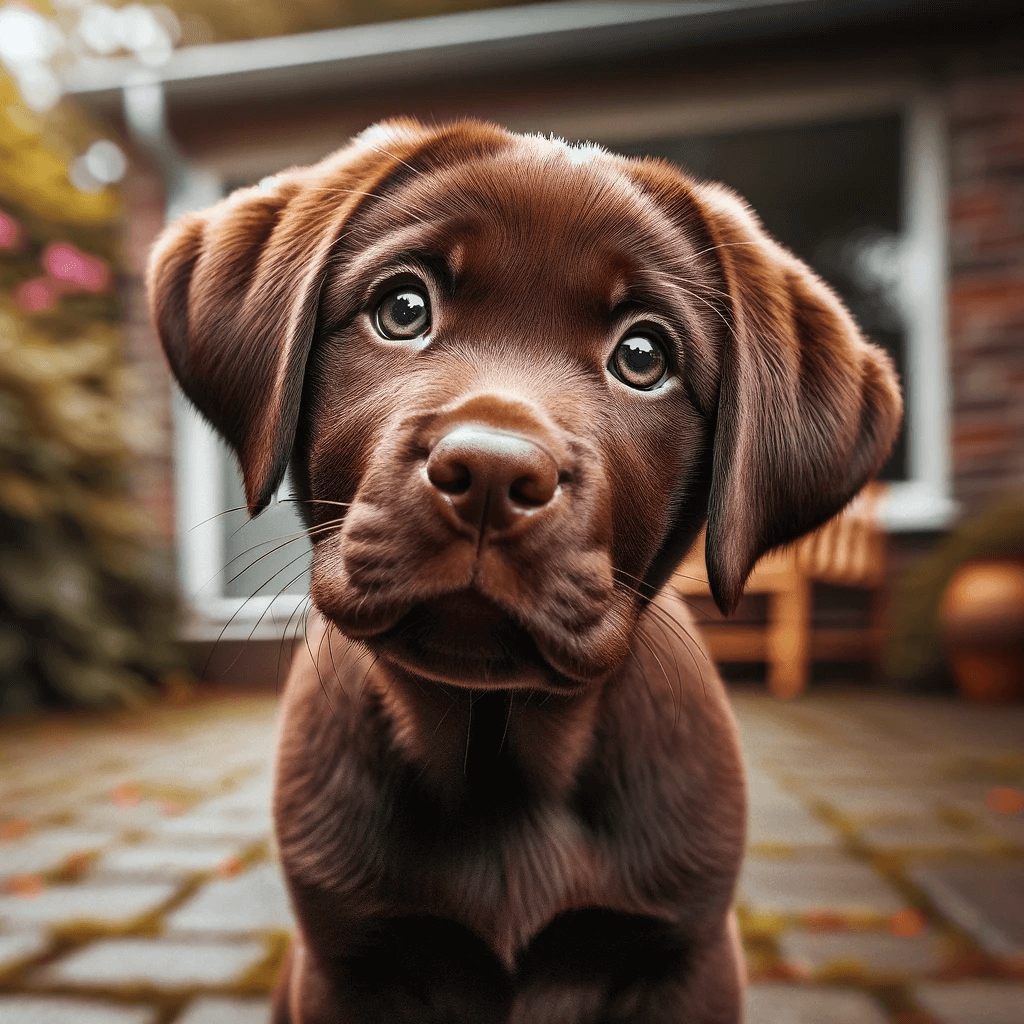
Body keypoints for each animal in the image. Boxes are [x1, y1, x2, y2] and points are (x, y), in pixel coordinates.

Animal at [148, 121, 901, 1024]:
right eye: (402, 310)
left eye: (643, 357)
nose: (491, 473)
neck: (496, 759)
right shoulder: (349, 961)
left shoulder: (685, 957)